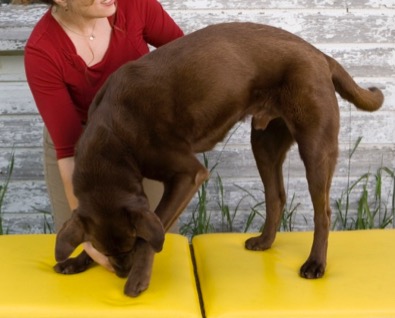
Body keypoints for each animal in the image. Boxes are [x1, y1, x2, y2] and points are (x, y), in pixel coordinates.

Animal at [53, 21, 384, 296]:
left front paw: (137, 280)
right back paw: (264, 242)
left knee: (322, 210)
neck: (113, 135)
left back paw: (315, 264)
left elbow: (153, 232)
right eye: (105, 250)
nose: (121, 273)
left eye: (130, 242)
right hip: (264, 142)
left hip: (315, 144)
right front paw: (78, 260)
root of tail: (320, 54)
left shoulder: (189, 174)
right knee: (276, 195)